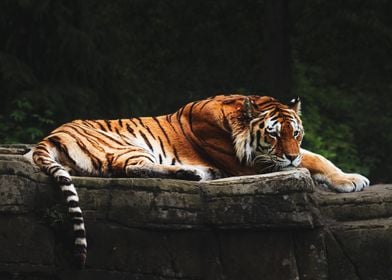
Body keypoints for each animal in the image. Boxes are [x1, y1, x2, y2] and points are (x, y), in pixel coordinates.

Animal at [30, 94, 370, 266]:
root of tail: (49, 136)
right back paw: (192, 173)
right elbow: (306, 162)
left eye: (295, 133)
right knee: (129, 169)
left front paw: (352, 179)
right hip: (124, 146)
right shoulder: (245, 164)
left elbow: (317, 157)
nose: (290, 156)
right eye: (273, 135)